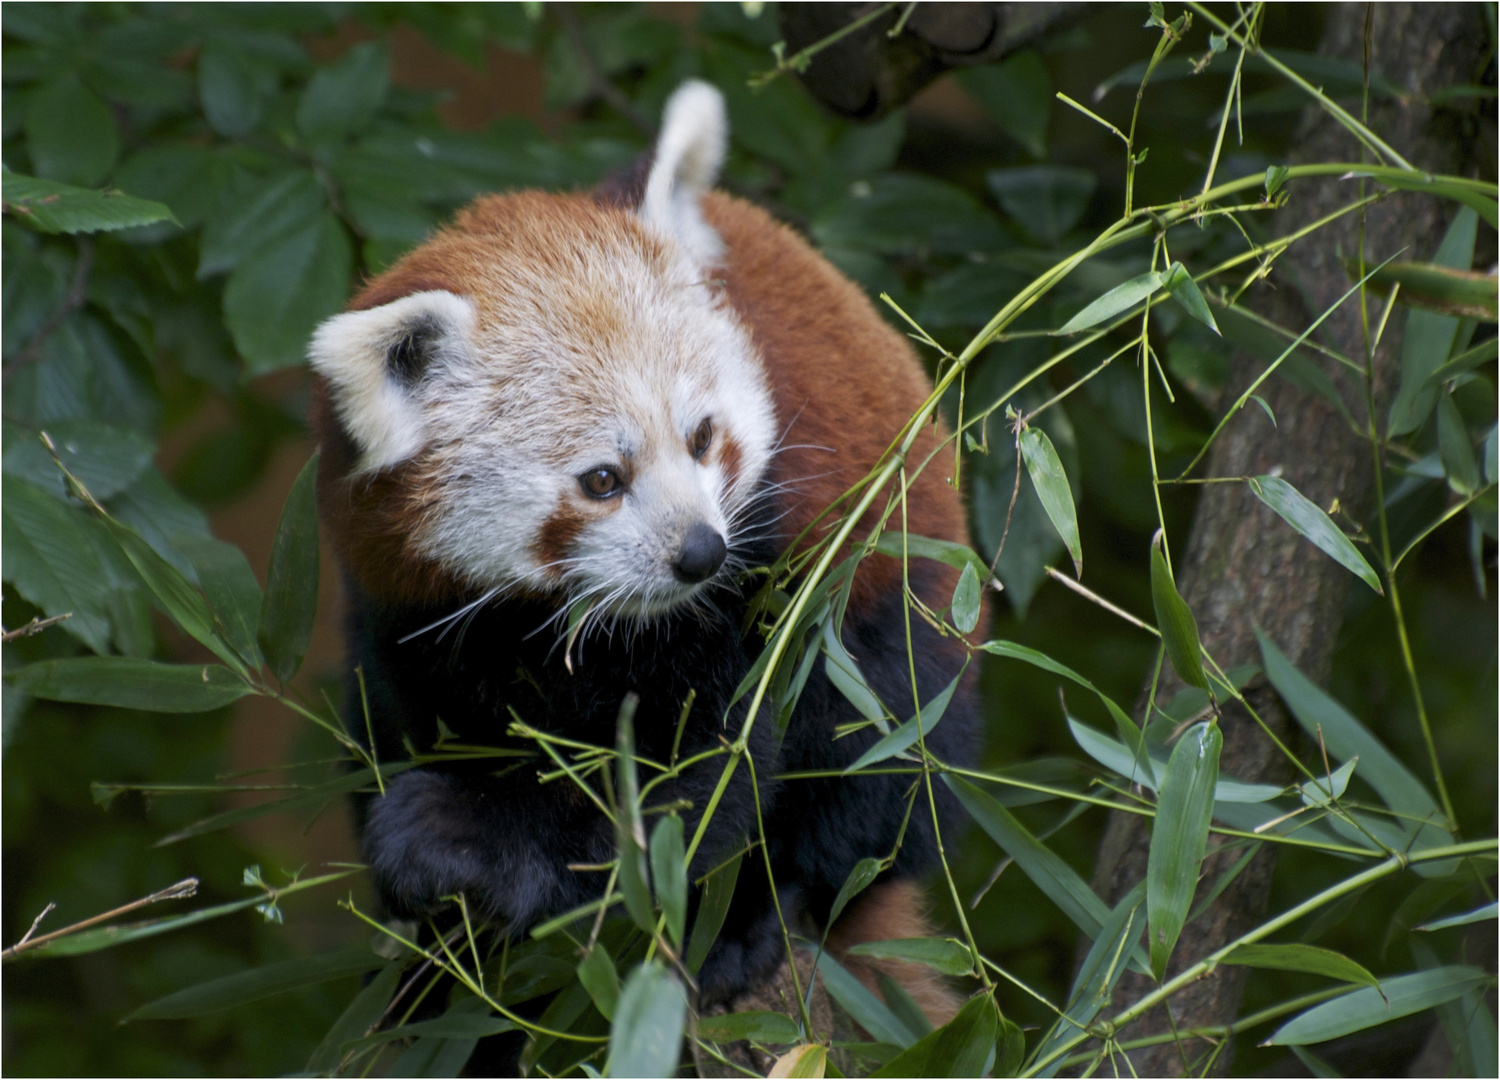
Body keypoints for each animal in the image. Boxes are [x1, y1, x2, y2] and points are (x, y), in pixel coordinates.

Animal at [310, 82, 978, 1032]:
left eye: (702, 438)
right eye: (602, 479)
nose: (699, 552)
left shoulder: (755, 585)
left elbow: (690, 787)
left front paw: (470, 842)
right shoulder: (402, 610)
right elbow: (415, 722)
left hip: (890, 606)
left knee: (876, 774)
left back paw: (756, 917)